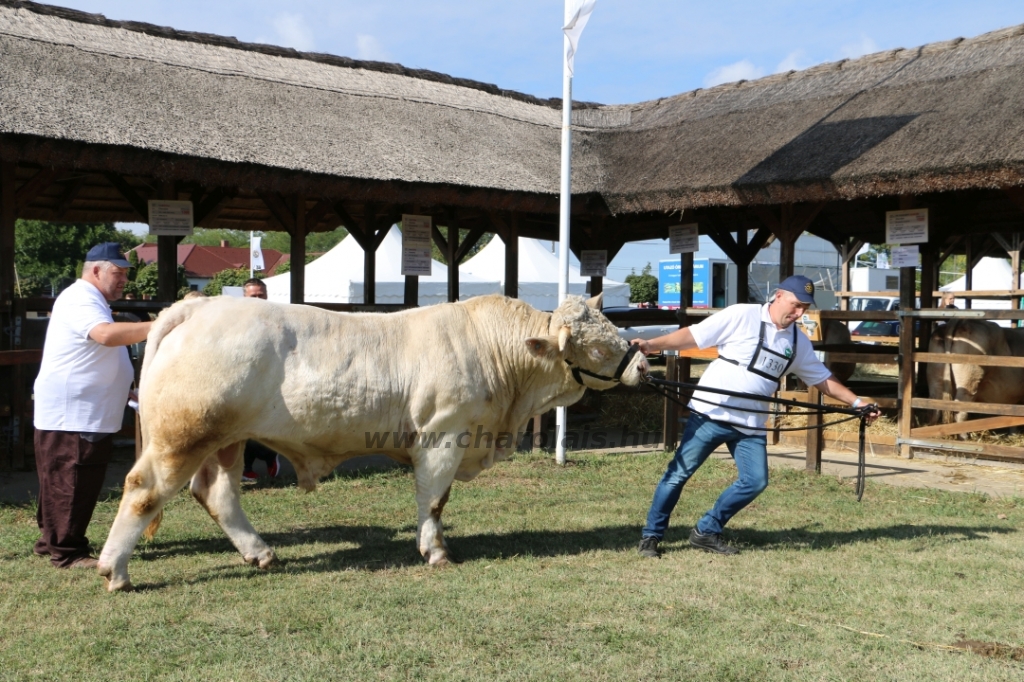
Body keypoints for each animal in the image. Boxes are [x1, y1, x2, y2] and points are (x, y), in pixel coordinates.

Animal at [96, 292, 638, 589]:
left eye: (614, 329)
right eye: (596, 346)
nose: (641, 363)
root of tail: (197, 307)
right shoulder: (443, 436)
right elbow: (433, 500)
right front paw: (435, 551)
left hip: (228, 439)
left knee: (217, 493)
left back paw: (260, 553)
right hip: (183, 436)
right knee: (143, 489)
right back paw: (114, 571)